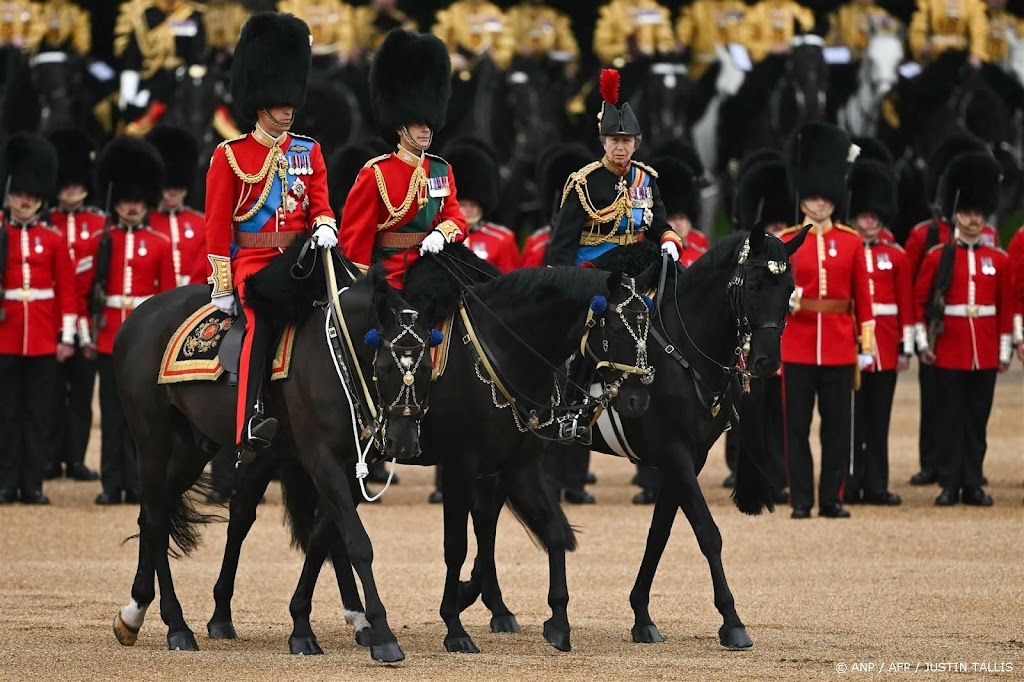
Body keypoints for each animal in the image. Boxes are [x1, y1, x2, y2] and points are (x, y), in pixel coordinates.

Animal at [109, 249, 436, 664]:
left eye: (427, 368)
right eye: (384, 366)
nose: (403, 444)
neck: (338, 356)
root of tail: (137, 316)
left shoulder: (344, 466)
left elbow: (322, 537)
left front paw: (303, 627)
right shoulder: (321, 459)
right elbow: (358, 543)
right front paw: (383, 634)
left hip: (190, 449)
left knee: (156, 513)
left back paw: (136, 613)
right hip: (153, 440)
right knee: (154, 518)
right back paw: (176, 625)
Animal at [202, 248, 659, 655]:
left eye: (649, 328)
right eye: (618, 330)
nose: (637, 400)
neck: (503, 350)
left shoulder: (519, 466)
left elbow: (553, 531)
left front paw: (558, 622)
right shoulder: (460, 466)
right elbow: (457, 545)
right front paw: (455, 626)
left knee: (323, 529)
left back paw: (343, 620)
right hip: (272, 451)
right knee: (242, 516)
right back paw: (222, 615)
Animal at [455, 225, 812, 650]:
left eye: (788, 288)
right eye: (755, 285)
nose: (767, 362)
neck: (684, 353)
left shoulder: (688, 458)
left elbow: (659, 534)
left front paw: (642, 615)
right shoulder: (675, 453)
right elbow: (708, 533)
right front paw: (732, 621)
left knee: (487, 514)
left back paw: (492, 602)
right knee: (485, 516)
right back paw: (491, 603)